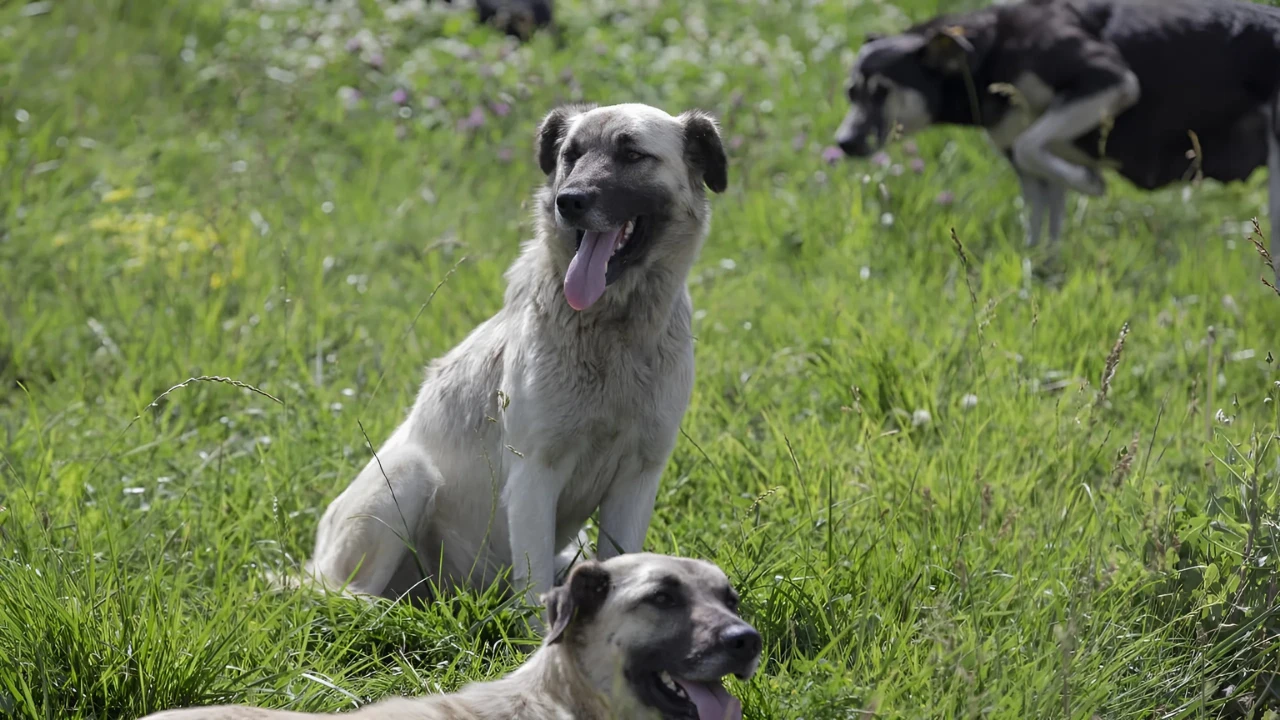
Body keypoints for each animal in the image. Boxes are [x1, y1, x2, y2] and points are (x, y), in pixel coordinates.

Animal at [294, 103, 727, 614]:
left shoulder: (637, 478)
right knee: (345, 593)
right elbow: (535, 589)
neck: (611, 334)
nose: (569, 201)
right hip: (406, 476)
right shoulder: (534, 475)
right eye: (570, 155)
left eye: (633, 154)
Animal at [834, 0, 1280, 274]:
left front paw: (1092, 181)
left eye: (882, 92)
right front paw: (1041, 274)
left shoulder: (1110, 80)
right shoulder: (1033, 174)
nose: (843, 143)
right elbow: (1041, 229)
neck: (990, 52)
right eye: (851, 92)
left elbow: (1034, 145)